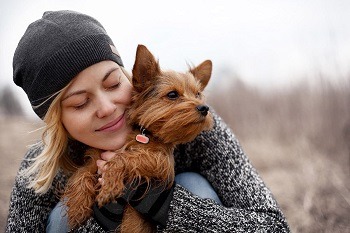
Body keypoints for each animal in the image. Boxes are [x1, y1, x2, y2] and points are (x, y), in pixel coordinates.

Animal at [62, 44, 213, 232]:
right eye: (172, 95)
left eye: (198, 94)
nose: (204, 108)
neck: (144, 133)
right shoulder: (96, 157)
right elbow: (82, 172)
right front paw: (77, 206)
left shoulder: (160, 163)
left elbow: (124, 158)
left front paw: (109, 186)